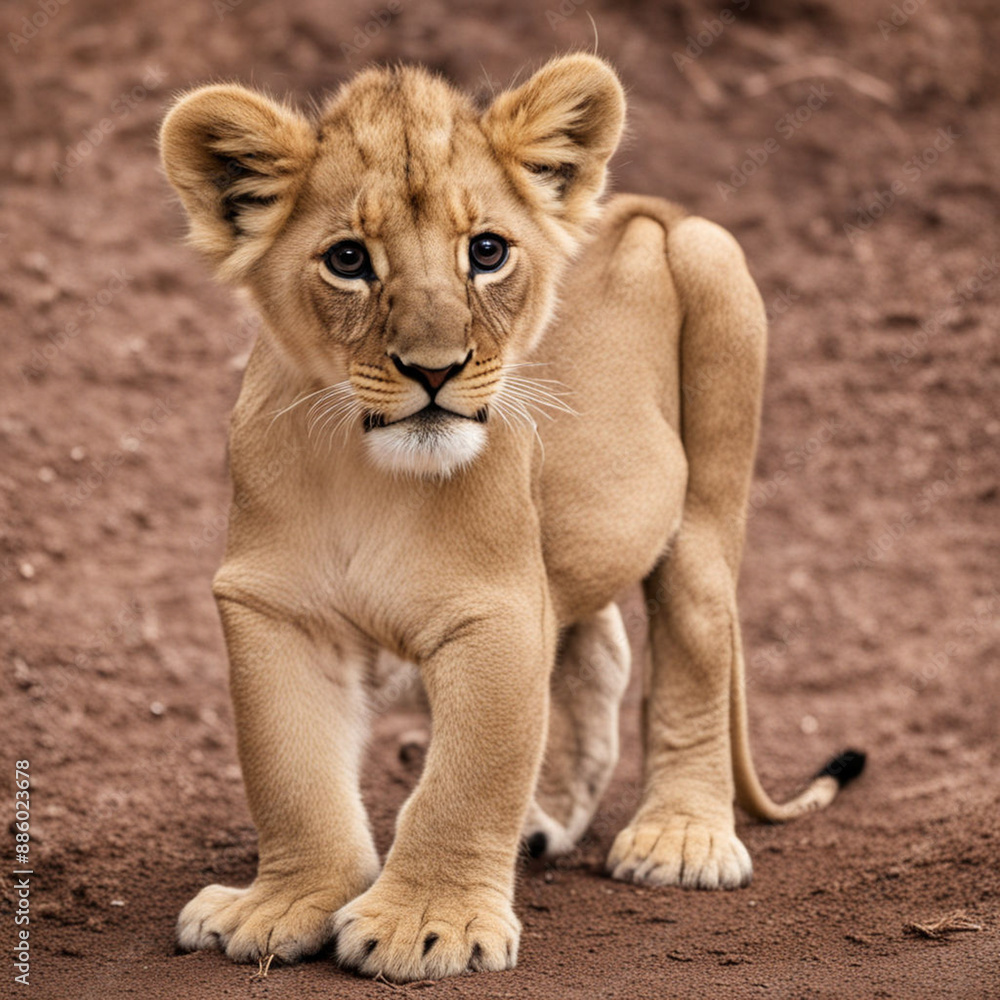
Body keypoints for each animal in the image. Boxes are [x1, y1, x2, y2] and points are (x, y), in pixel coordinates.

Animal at [159, 54, 864, 983]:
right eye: (348, 259)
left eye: (486, 251)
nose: (434, 370)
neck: (365, 467)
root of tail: (647, 207)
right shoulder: (273, 605)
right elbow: (292, 777)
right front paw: (280, 906)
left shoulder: (493, 606)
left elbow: (466, 780)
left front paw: (428, 925)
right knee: (594, 648)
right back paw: (544, 825)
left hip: (713, 417)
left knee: (694, 648)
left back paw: (680, 841)